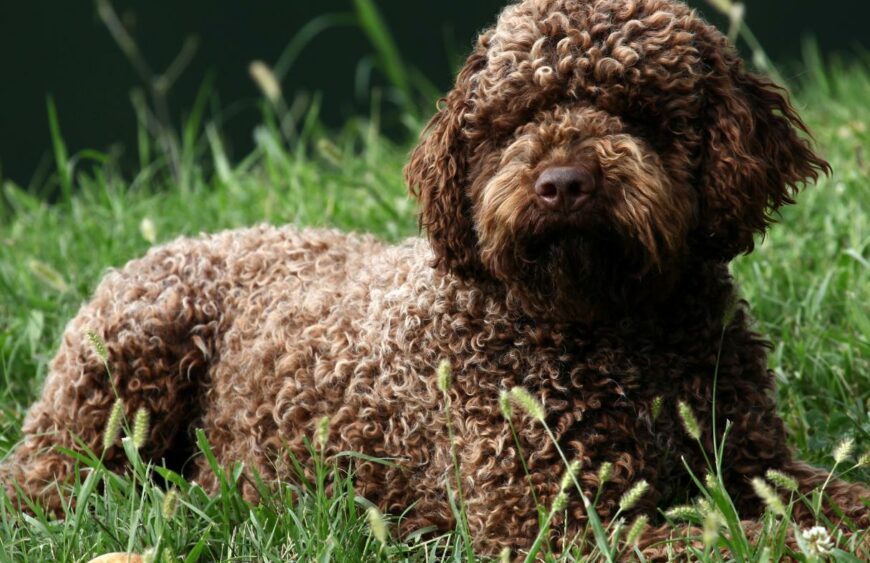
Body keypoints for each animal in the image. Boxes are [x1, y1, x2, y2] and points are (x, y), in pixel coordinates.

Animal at [3, 0, 868, 556]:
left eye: (636, 109)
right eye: (514, 119)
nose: (562, 184)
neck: (616, 332)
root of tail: (179, 241)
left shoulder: (756, 462)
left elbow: (828, 496)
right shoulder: (547, 524)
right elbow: (739, 537)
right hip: (125, 375)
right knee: (45, 483)